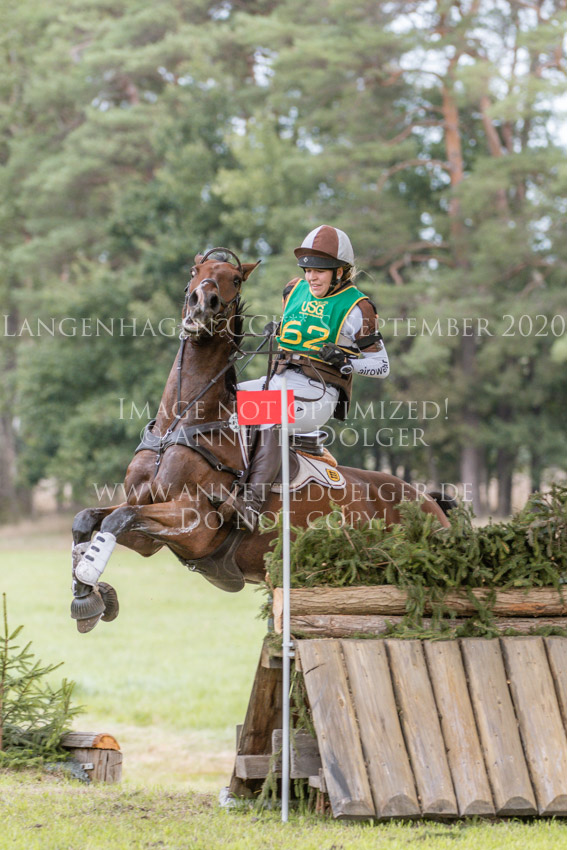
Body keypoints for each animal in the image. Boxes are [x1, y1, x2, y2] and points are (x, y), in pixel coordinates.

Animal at [70, 248, 450, 632]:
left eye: (236, 280)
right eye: (194, 271)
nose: (201, 304)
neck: (183, 419)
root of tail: (428, 502)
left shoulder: (195, 524)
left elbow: (118, 519)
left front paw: (87, 579)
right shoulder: (146, 527)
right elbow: (89, 519)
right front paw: (87, 593)